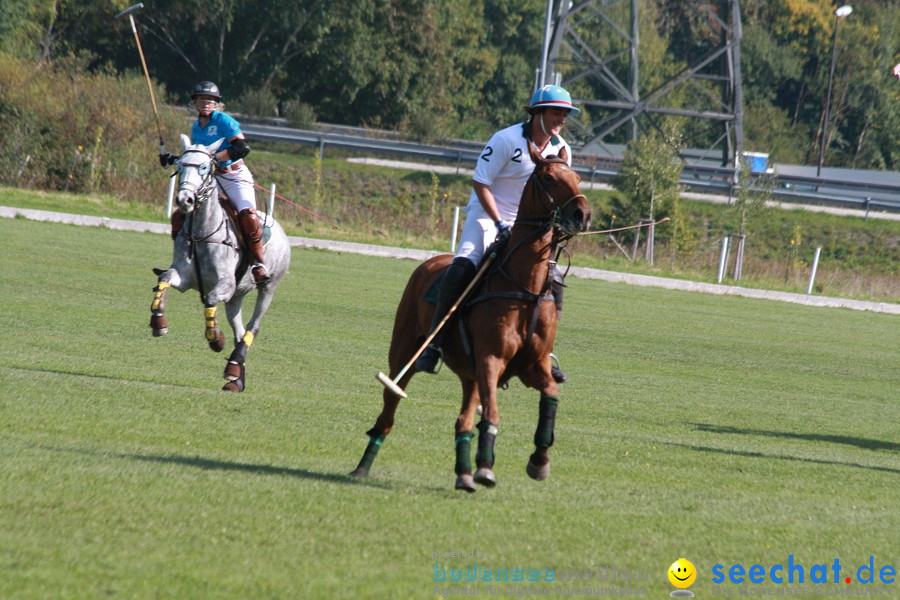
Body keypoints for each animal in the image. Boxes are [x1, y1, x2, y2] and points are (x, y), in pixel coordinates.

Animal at [151, 134, 292, 392]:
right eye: (180, 165)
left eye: (204, 167)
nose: (184, 200)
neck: (201, 233)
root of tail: (280, 229)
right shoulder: (184, 277)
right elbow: (164, 278)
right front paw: (158, 322)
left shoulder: (224, 284)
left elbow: (210, 299)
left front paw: (216, 338)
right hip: (237, 295)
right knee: (239, 330)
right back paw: (235, 377)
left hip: (268, 287)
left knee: (253, 326)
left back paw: (234, 364)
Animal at [350, 143, 592, 490]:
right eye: (547, 177)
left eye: (578, 177)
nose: (582, 215)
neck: (525, 288)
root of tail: (431, 261)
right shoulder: (491, 359)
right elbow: (492, 414)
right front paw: (486, 468)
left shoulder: (532, 365)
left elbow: (550, 395)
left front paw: (539, 461)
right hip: (405, 352)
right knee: (388, 411)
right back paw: (363, 467)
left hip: (470, 375)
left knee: (462, 420)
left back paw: (464, 473)